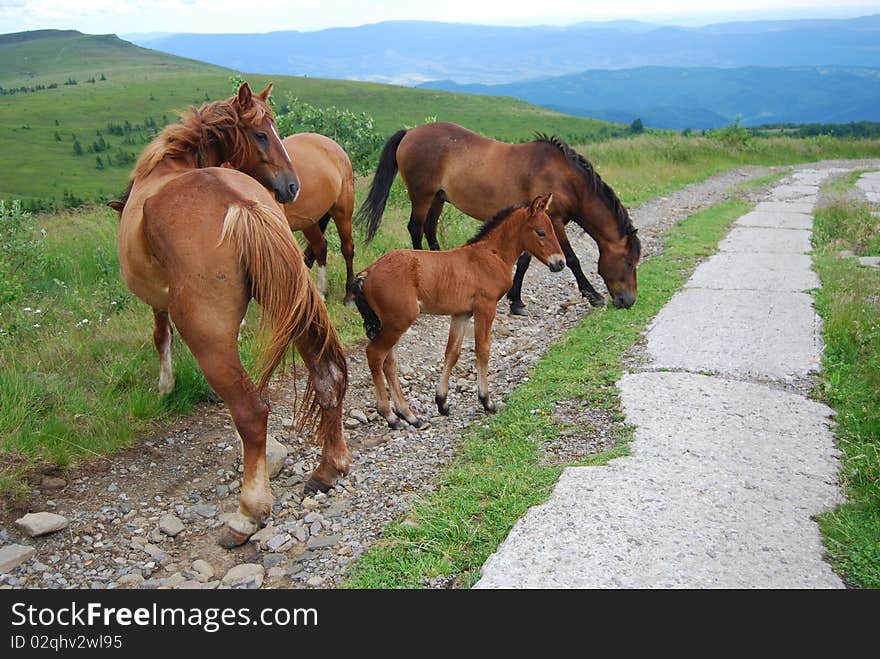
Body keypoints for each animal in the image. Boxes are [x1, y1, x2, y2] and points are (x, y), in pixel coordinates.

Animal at [356, 123, 640, 314]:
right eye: (628, 263)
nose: (628, 301)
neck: (563, 178)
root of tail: (410, 132)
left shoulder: (532, 222)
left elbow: (524, 261)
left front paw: (516, 301)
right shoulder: (554, 220)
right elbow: (572, 259)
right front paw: (593, 295)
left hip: (438, 198)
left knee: (429, 229)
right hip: (422, 196)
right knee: (415, 228)